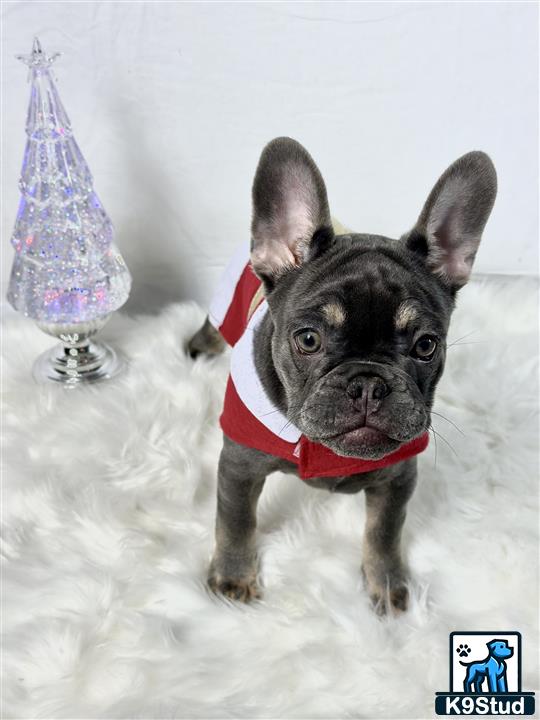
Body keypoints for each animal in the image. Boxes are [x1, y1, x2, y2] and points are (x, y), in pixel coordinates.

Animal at [188, 139, 496, 612]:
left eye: (426, 346)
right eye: (308, 339)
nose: (368, 383)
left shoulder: (397, 480)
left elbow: (384, 533)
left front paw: (386, 584)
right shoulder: (240, 466)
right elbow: (236, 521)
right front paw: (234, 577)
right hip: (222, 306)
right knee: (212, 326)